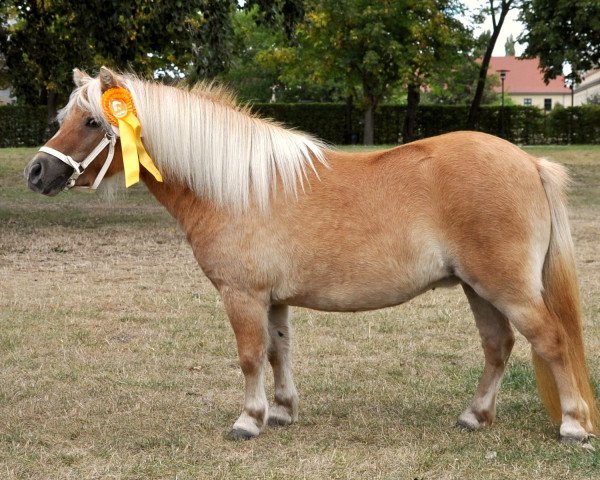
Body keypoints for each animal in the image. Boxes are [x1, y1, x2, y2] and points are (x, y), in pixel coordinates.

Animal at [24, 67, 600, 442]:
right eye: (66, 116)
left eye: (93, 122)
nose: (36, 172)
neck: (238, 187)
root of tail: (528, 162)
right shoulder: (274, 300)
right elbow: (279, 352)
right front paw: (280, 412)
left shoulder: (242, 295)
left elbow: (250, 355)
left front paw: (248, 420)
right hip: (479, 289)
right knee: (498, 346)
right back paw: (474, 417)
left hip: (506, 288)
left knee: (550, 340)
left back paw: (572, 425)